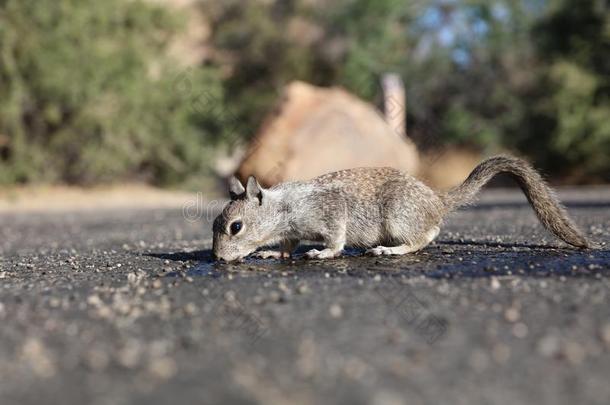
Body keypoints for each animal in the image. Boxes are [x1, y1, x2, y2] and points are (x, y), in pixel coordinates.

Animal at [211, 155, 588, 262]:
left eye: (235, 227)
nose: (217, 259)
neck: (283, 206)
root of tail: (436, 199)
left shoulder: (329, 210)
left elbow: (335, 237)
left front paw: (323, 253)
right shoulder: (290, 231)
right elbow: (288, 245)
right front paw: (273, 253)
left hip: (398, 216)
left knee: (427, 235)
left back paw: (390, 250)